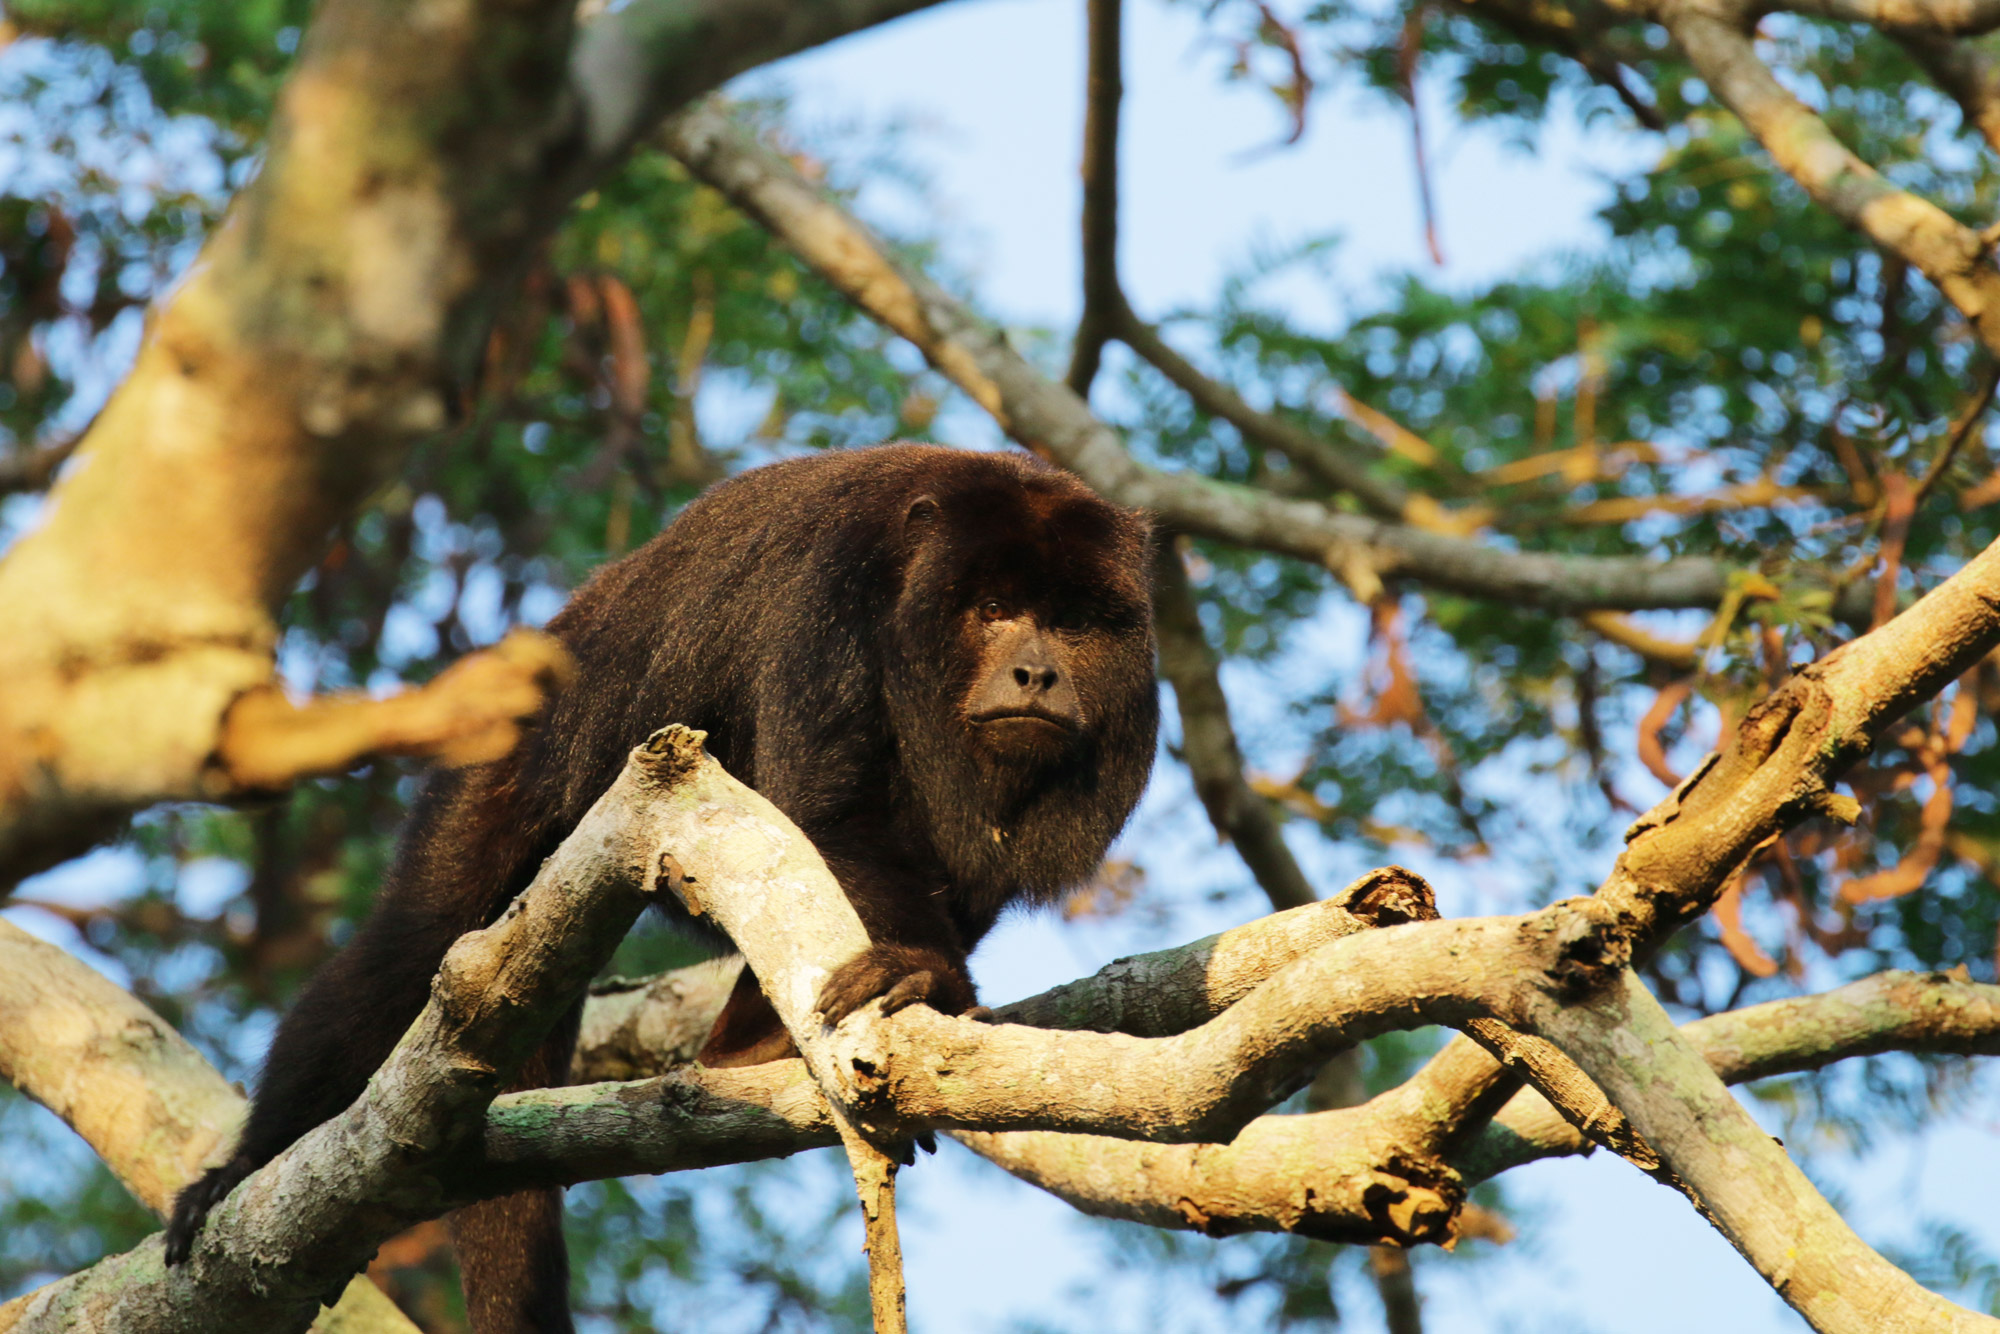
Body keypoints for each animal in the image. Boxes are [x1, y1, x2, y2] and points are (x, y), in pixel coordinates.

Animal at [166, 448, 1168, 1334]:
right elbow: (834, 807)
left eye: (1072, 622)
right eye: (995, 611)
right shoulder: (833, 601)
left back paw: (750, 1039)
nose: (1036, 671)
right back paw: (245, 1167)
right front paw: (921, 972)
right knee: (413, 942)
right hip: (509, 760)